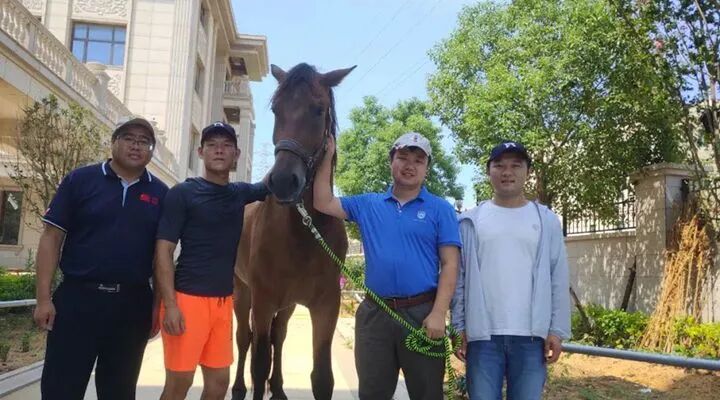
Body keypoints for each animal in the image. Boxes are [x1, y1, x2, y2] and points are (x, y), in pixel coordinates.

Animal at [231, 63, 355, 400]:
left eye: (319, 109)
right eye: (277, 109)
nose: (284, 181)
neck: (302, 234)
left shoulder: (327, 305)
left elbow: (322, 377)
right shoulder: (262, 301)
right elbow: (259, 362)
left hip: (286, 305)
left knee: (280, 336)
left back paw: (279, 388)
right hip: (242, 292)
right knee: (244, 338)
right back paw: (238, 388)